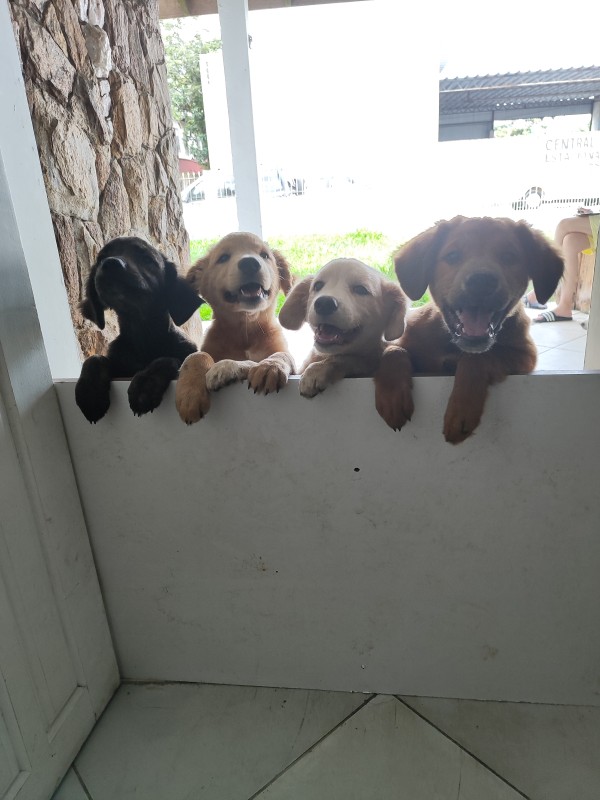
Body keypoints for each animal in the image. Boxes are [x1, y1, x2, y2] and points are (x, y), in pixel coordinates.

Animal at [75, 236, 200, 424]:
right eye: (101, 258)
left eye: (147, 259)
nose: (110, 263)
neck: (142, 335)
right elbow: (94, 358)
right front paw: (90, 394)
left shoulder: (185, 355)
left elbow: (166, 359)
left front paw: (144, 387)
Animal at [175, 230, 294, 424]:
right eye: (223, 258)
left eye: (264, 255)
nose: (250, 263)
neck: (245, 330)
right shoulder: (206, 350)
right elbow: (197, 355)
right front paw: (190, 395)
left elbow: (281, 355)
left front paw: (269, 366)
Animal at [278, 258, 410, 410]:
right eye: (318, 285)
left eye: (361, 289)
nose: (324, 303)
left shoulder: (369, 360)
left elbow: (346, 359)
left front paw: (316, 370)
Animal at [376, 216, 564, 444]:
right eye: (453, 255)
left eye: (509, 257)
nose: (482, 282)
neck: (451, 343)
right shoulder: (405, 343)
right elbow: (392, 350)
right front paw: (391, 397)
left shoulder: (525, 356)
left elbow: (477, 358)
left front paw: (461, 412)